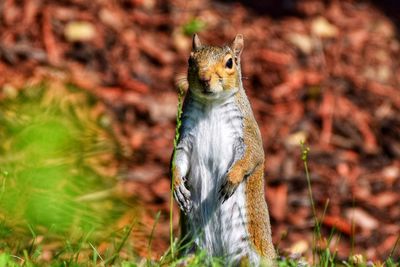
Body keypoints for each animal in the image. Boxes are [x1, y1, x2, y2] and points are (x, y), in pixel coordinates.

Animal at [170, 34, 276, 266]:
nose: (204, 78)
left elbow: (251, 157)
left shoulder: (248, 134)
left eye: (229, 63)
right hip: (192, 251)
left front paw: (232, 178)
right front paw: (177, 184)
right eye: (190, 60)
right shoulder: (186, 137)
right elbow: (178, 158)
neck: (212, 105)